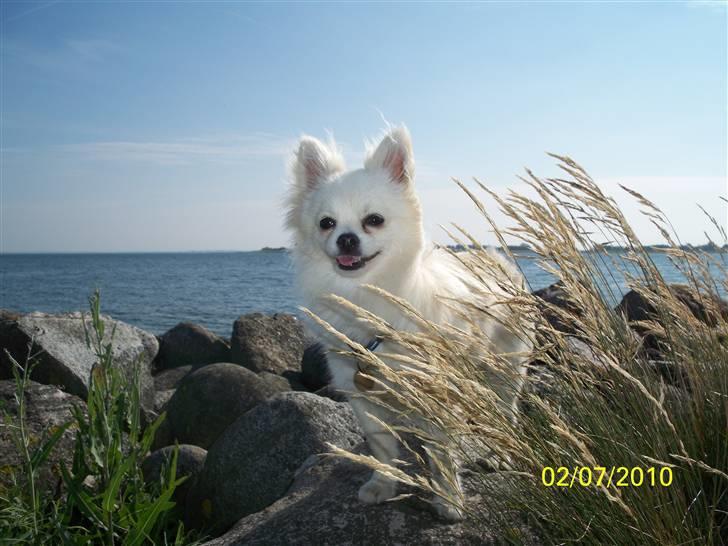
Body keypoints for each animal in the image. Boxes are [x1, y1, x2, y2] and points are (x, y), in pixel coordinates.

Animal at [284, 124, 528, 520]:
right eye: (326, 224)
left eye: (374, 220)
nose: (346, 239)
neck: (367, 295)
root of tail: (496, 258)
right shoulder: (361, 394)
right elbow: (381, 447)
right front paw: (383, 484)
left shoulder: (437, 393)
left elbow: (441, 453)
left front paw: (448, 500)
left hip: (508, 364)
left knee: (506, 407)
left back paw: (500, 452)